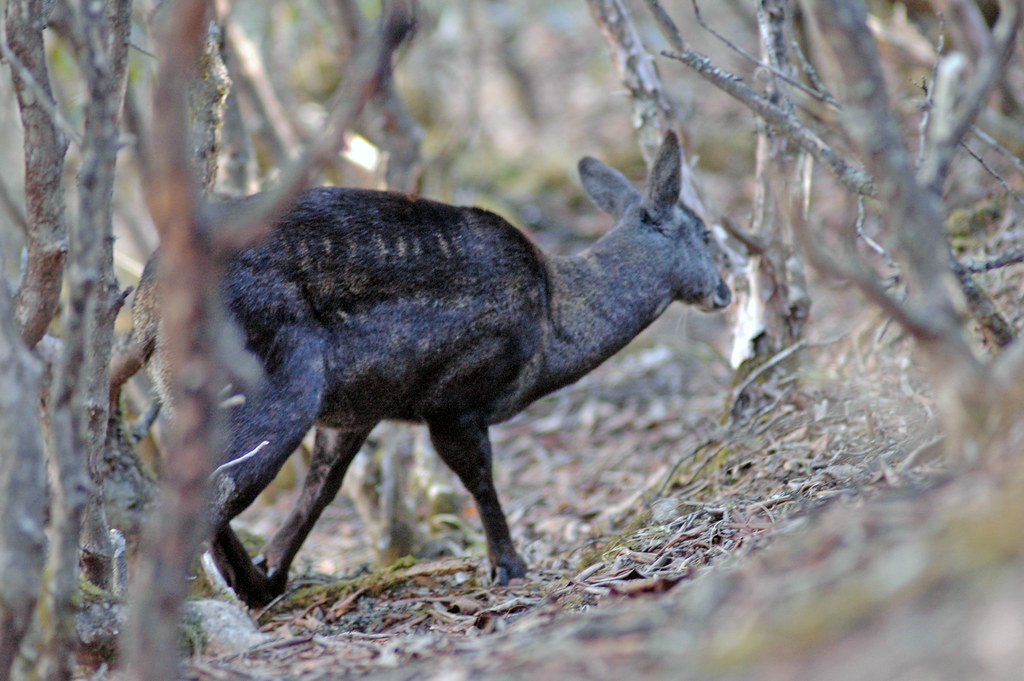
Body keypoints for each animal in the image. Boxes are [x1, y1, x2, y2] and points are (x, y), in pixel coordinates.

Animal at [134, 129, 729, 606]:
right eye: (707, 235)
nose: (724, 292)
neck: (552, 323)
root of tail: (145, 304)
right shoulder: (456, 396)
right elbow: (480, 478)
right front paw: (509, 566)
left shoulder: (356, 412)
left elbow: (323, 487)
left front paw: (274, 569)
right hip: (278, 387)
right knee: (212, 490)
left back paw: (247, 588)